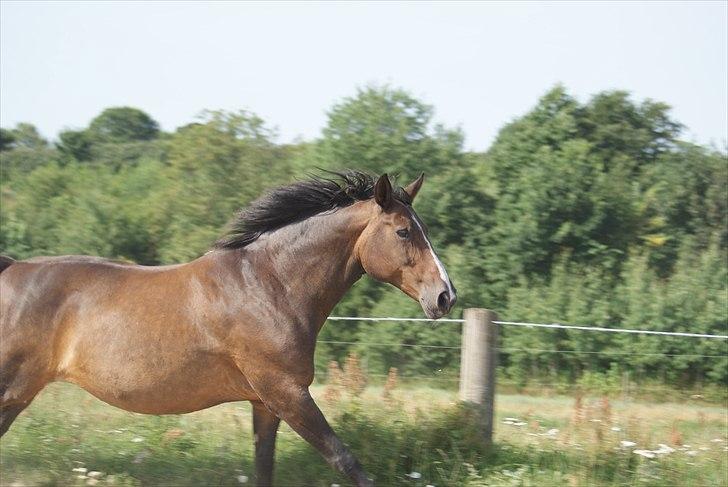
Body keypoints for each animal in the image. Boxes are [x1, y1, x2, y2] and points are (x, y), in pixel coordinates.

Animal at [0, 171, 456, 484]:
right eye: (404, 231)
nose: (445, 296)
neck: (270, 285)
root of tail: (10, 268)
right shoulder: (287, 393)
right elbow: (345, 460)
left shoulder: (265, 404)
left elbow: (264, 468)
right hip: (14, 388)